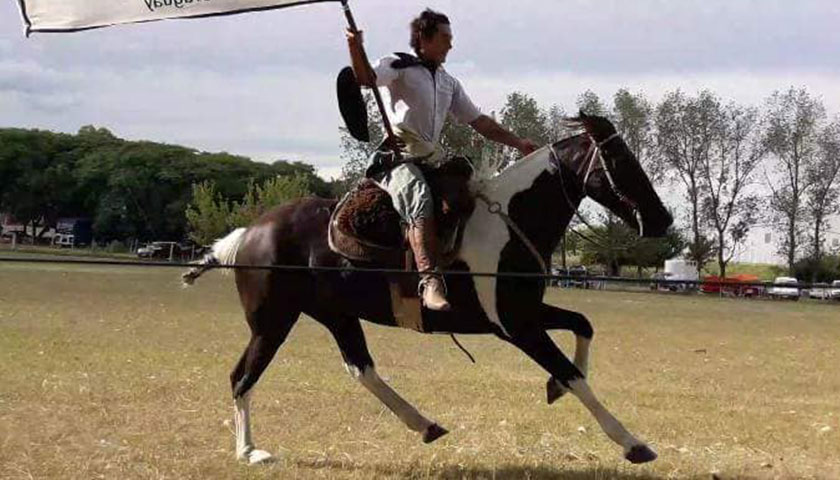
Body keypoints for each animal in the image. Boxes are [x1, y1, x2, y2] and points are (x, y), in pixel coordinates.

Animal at [182, 113, 673, 465]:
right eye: (621, 161)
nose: (662, 218)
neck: (506, 224)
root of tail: (249, 232)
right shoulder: (517, 327)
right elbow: (576, 377)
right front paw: (632, 443)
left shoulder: (523, 314)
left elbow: (583, 326)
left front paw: (554, 388)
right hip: (272, 322)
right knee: (243, 376)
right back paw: (249, 451)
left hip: (335, 316)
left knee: (361, 369)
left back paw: (424, 424)